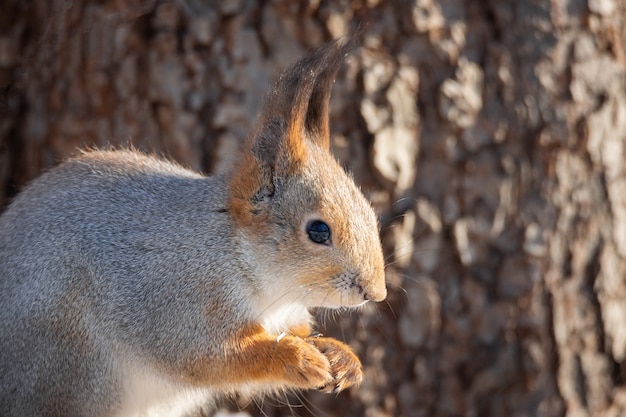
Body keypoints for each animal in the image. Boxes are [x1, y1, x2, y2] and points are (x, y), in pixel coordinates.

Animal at [0, 35, 386, 416]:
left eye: (371, 213)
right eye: (318, 231)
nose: (376, 293)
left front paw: (342, 356)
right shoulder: (179, 304)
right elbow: (212, 359)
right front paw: (298, 358)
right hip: (68, 361)